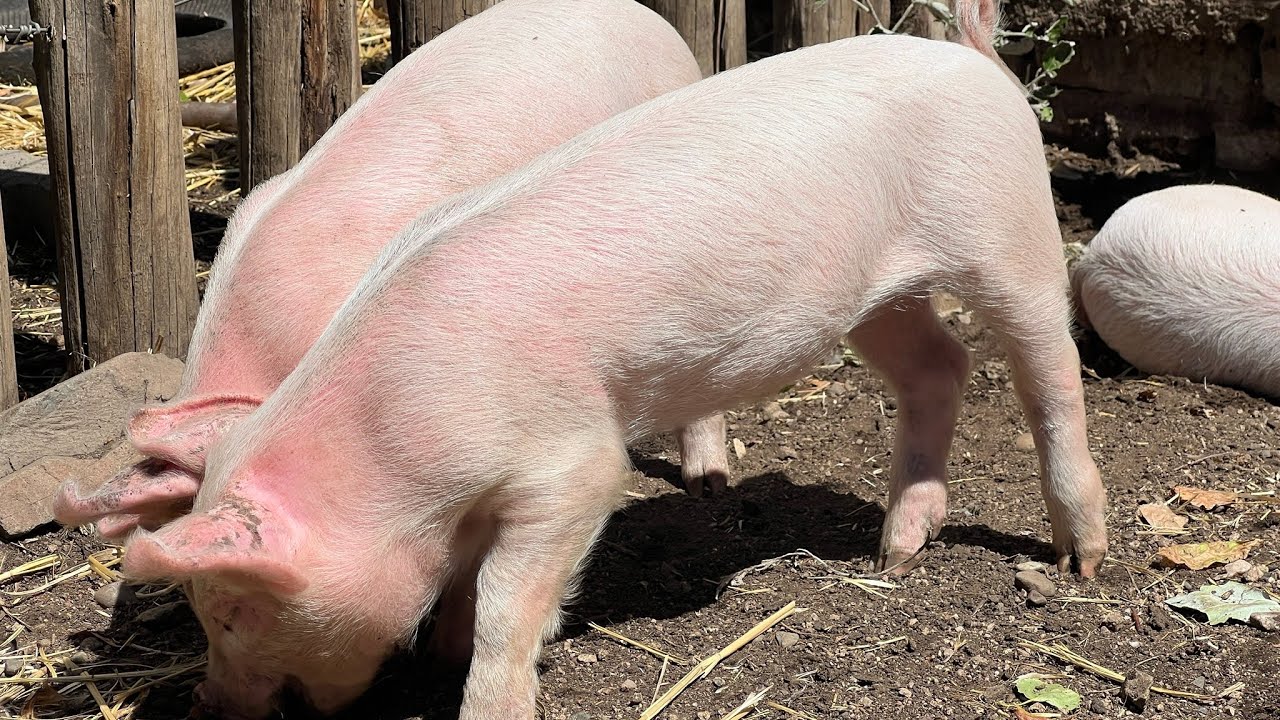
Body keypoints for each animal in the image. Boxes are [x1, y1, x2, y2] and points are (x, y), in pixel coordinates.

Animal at [122, 1, 1108, 717]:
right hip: (873, 295)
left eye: (233, 608)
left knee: (1049, 372)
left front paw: (483, 691)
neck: (395, 451)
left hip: (1009, 231)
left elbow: (512, 599)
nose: (210, 703)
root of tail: (973, 60)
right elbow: (468, 582)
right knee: (938, 366)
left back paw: (1082, 561)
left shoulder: (571, 462)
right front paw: (441, 645)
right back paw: (894, 555)